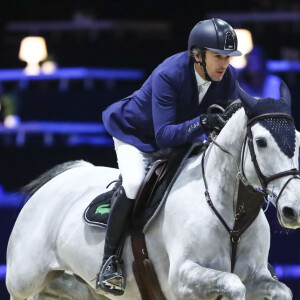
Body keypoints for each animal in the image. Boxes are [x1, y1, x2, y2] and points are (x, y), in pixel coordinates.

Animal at [5, 83, 300, 298]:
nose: (293, 210)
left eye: (297, 139)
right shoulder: (182, 278)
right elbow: (232, 284)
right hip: (24, 284)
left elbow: (279, 290)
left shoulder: (257, 276)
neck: (232, 215)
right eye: (261, 142)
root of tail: (58, 180)